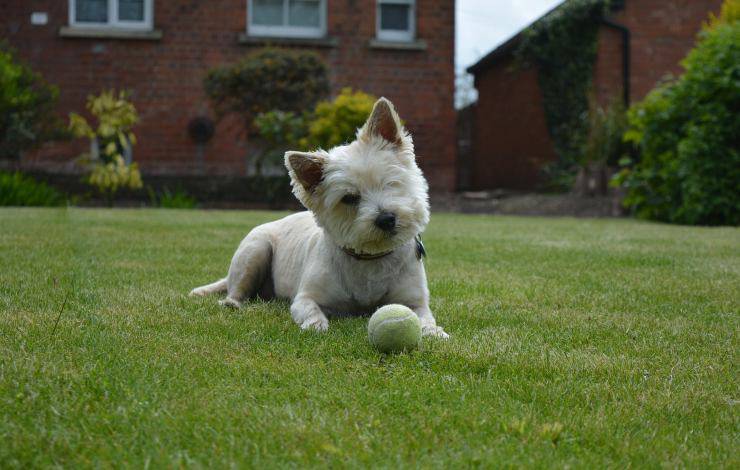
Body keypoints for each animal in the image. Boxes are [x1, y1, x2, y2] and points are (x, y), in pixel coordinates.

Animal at [188, 97, 448, 338]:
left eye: (391, 183)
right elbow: (310, 309)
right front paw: (316, 325)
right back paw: (232, 302)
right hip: (254, 251)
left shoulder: (415, 301)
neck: (370, 259)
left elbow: (425, 317)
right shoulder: (305, 297)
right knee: (237, 289)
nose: (386, 219)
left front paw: (433, 332)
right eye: (349, 198)